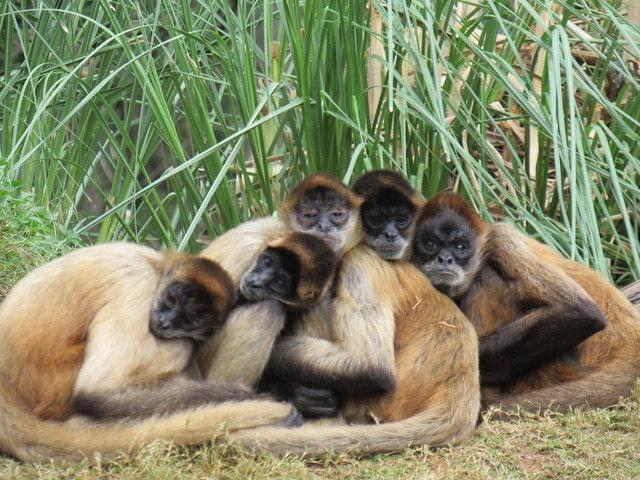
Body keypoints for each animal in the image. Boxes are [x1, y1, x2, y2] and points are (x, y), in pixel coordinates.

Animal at [0, 244, 298, 462]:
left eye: (188, 321)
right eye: (170, 301)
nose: (165, 323)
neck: (154, 266)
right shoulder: (139, 286)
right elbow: (96, 392)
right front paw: (252, 397)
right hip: (55, 386)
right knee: (179, 348)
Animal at [410, 193, 640, 414]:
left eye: (460, 247)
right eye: (430, 245)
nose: (445, 259)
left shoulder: (501, 238)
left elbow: (581, 311)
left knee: (485, 276)